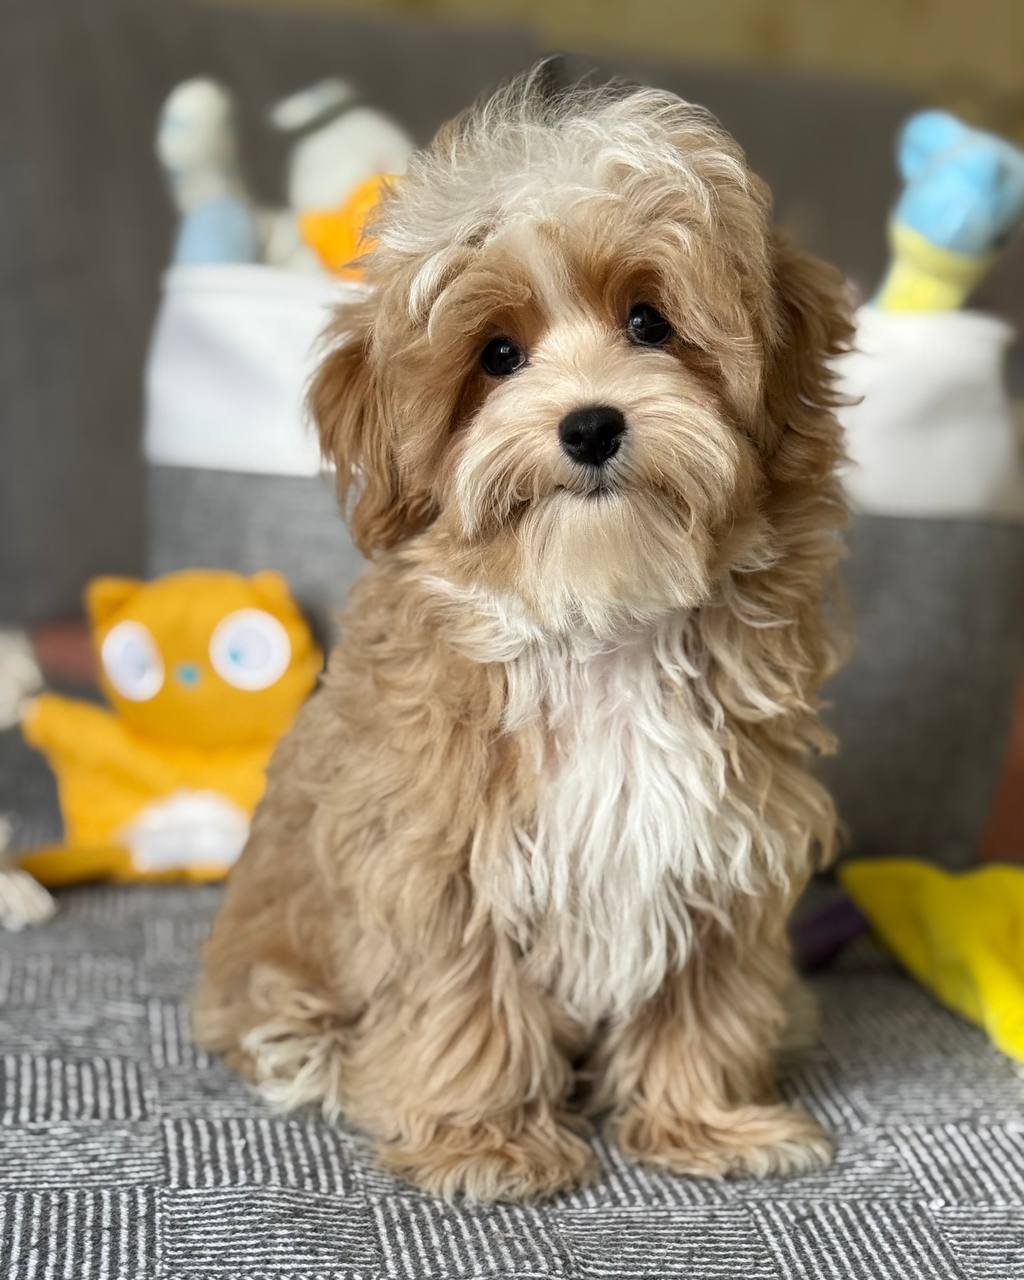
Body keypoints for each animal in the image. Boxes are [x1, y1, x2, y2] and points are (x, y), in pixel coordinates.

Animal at [195, 70, 851, 1203]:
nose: (589, 424)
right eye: (497, 355)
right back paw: (313, 1054)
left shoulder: (724, 841)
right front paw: (483, 1140)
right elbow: (467, 1003)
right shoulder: (437, 852)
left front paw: (708, 1122)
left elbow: (703, 997)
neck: (597, 619)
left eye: (649, 321)